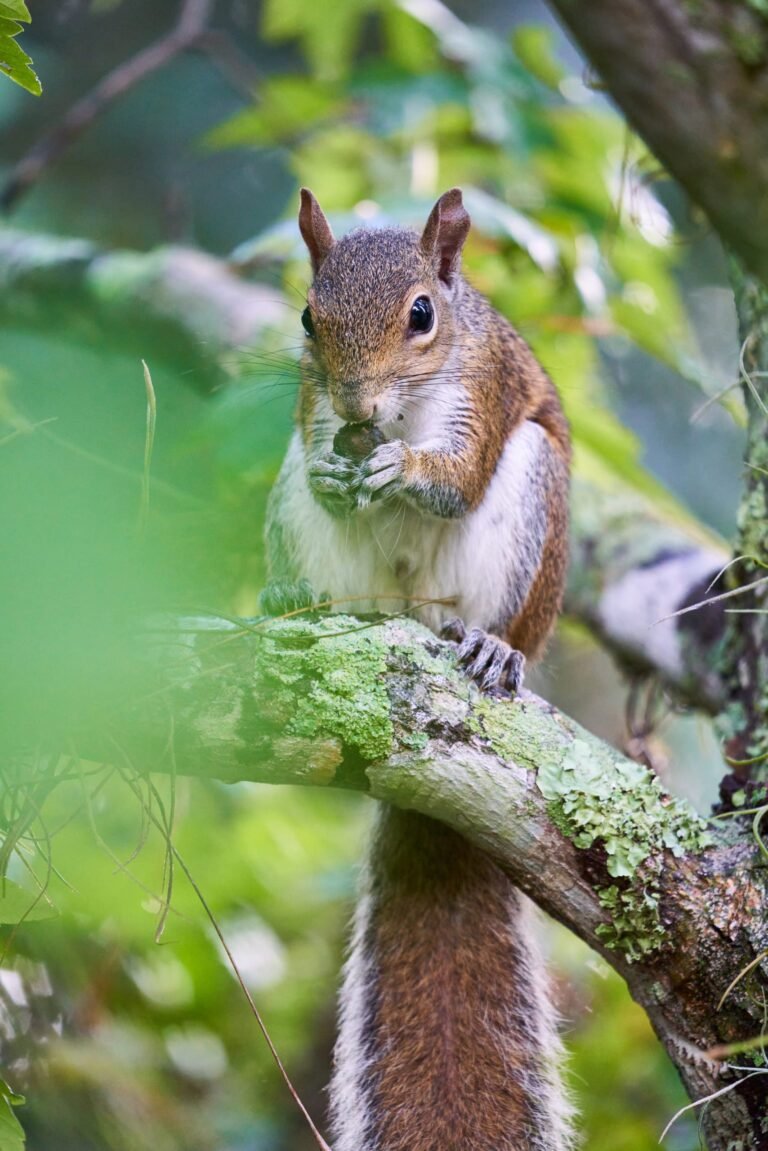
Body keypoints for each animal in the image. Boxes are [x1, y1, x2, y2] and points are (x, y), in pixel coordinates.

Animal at [265, 187, 574, 1151]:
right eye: (308, 317)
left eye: (423, 316)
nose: (357, 403)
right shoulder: (308, 412)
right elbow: (323, 459)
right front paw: (345, 468)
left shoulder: (483, 391)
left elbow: (454, 477)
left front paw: (404, 464)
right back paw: (308, 603)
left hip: (530, 504)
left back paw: (491, 647)